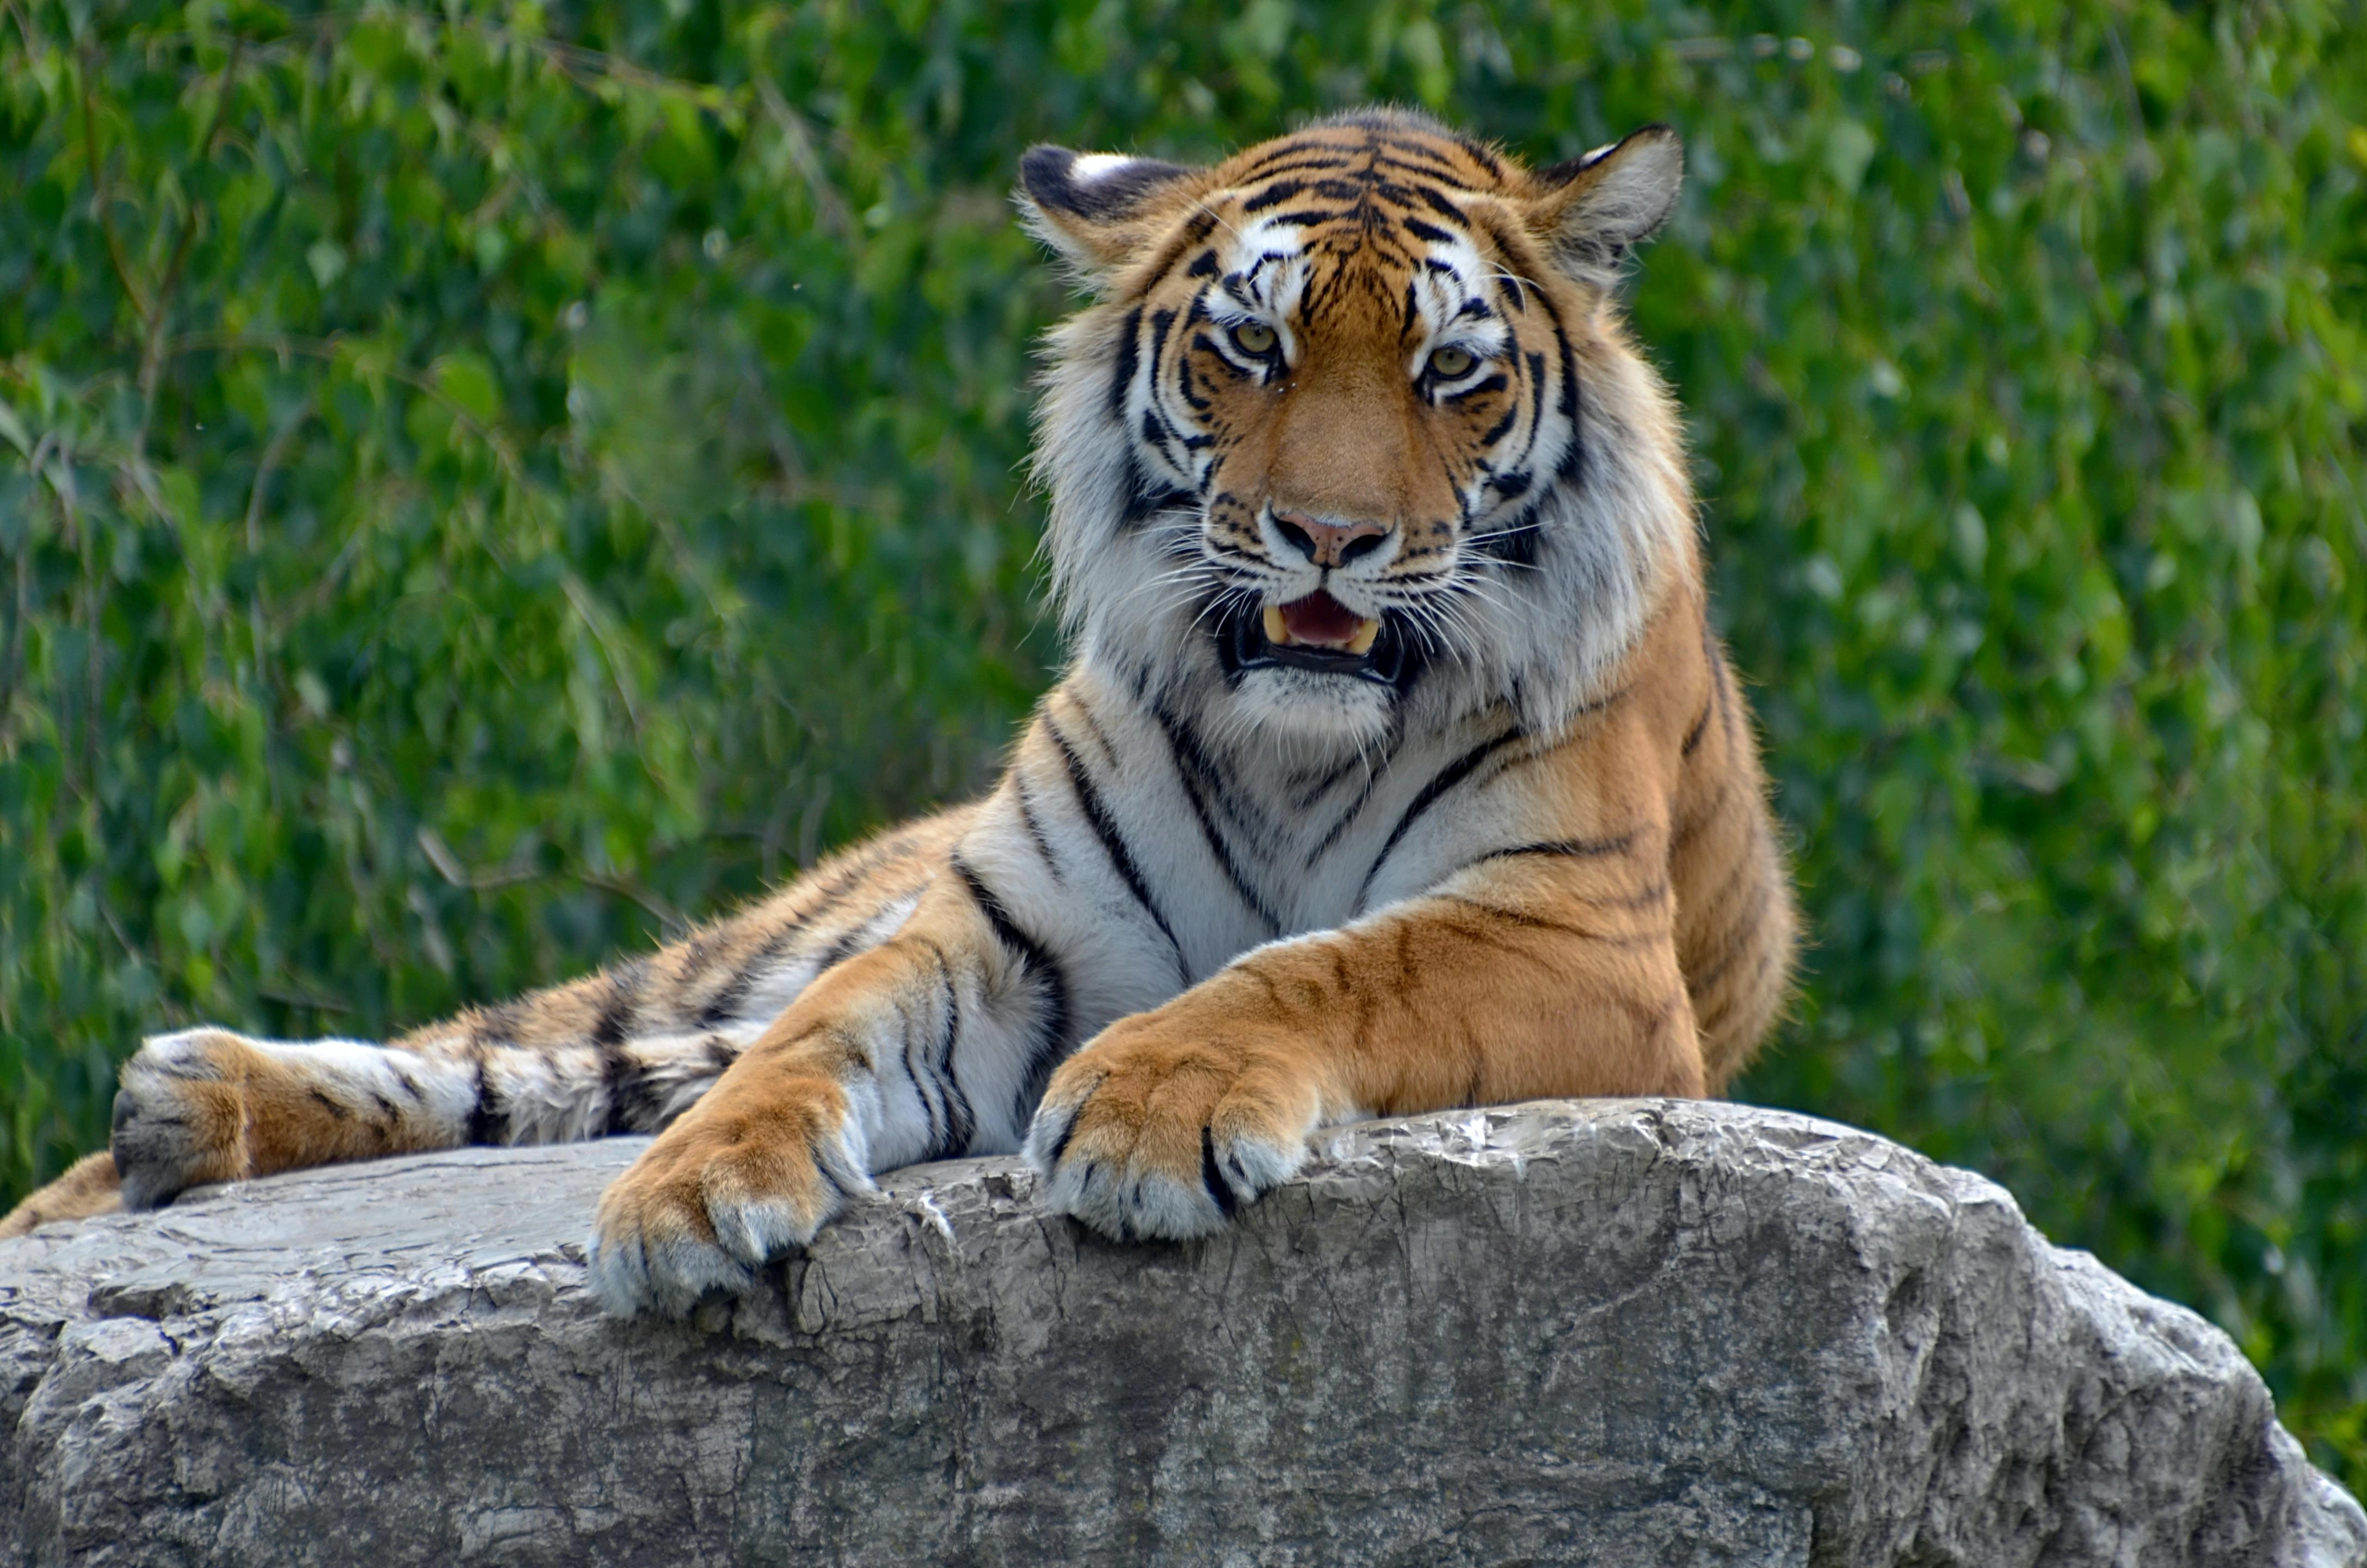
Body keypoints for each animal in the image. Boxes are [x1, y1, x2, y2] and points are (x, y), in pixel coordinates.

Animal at [2, 108, 1797, 1319]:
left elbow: (1326, 966)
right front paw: (692, 1197)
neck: (1290, 743)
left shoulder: (1571, 937)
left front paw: (1151, 1105)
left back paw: (178, 1112)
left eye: (1449, 374)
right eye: (1250, 348)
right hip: (724, 953)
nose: (1329, 539)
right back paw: (158, 1127)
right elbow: (817, 1038)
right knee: (543, 1052)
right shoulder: (1005, 930)